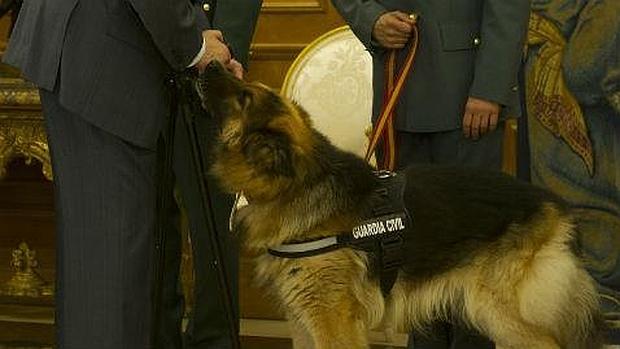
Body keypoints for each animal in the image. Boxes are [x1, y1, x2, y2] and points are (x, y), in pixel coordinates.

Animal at [197, 63, 600, 348]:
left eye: (245, 97)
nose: (210, 63)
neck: (301, 183)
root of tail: (553, 202)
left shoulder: (331, 321)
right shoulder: (302, 323)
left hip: (497, 311)